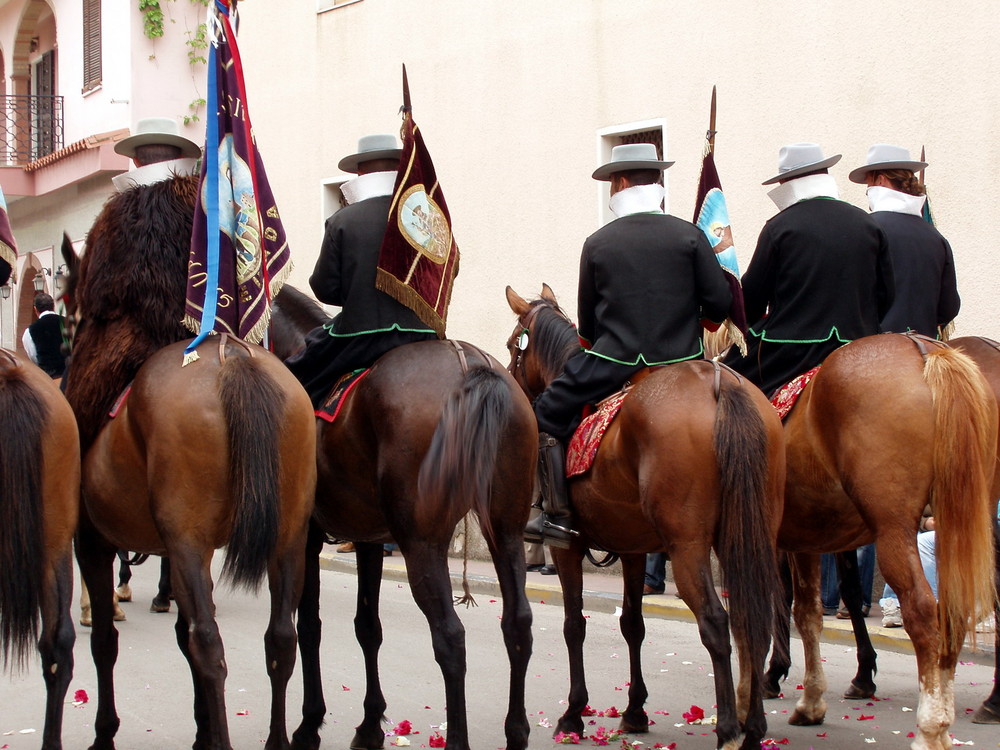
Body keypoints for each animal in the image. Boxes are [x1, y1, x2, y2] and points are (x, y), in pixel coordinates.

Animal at [60, 172, 316, 750]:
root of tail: (234, 359)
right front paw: (199, 729)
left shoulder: (94, 539)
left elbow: (106, 641)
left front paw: (105, 732)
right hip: (286, 536)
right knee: (280, 639)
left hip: (190, 540)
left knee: (208, 643)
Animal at [268, 284, 540, 750]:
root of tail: (469, 364)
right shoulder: (370, 537)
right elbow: (367, 626)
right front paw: (370, 724)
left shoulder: (305, 536)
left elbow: (310, 625)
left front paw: (309, 723)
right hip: (505, 531)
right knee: (517, 622)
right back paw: (516, 731)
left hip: (422, 545)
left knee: (450, 637)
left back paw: (459, 739)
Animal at [504, 284, 784, 748]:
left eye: (513, 346)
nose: (514, 389)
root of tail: (722, 386)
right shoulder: (633, 548)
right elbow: (633, 624)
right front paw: (635, 711)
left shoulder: (567, 549)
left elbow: (573, 624)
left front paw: (573, 713)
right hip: (751, 536)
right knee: (752, 621)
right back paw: (754, 726)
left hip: (688, 546)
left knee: (716, 622)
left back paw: (728, 727)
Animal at [760, 334, 996, 750]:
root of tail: (927, 351)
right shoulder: (813, 537)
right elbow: (815, 610)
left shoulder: (789, 539)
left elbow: (795, 606)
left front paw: (784, 681)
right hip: (962, 519)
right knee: (953, 610)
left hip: (895, 528)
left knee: (923, 611)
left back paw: (930, 728)